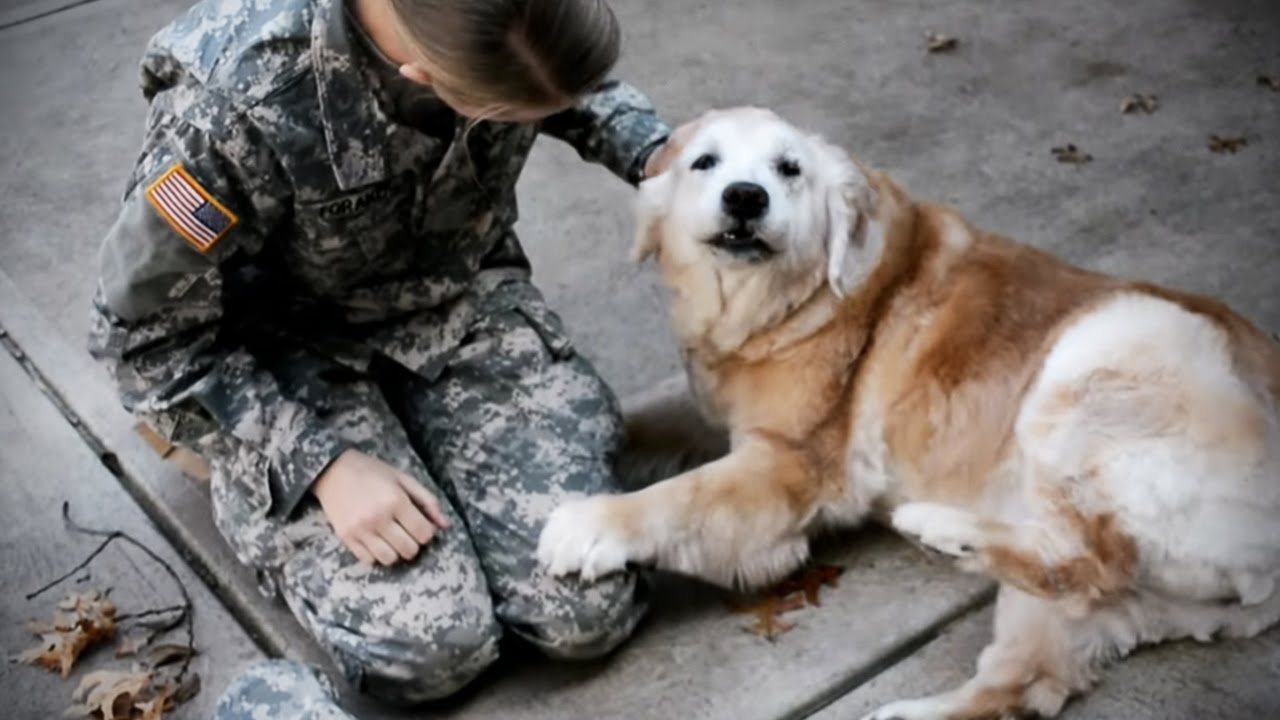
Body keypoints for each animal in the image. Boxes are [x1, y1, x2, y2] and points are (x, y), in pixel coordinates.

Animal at [535, 106, 1274, 717]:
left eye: (788, 168)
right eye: (705, 163)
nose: (746, 197)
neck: (777, 303)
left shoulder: (790, 465)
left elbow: (680, 496)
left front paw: (588, 523)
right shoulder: (719, 409)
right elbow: (647, 415)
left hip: (1102, 349)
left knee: (1093, 558)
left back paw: (939, 527)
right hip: (1100, 598)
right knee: (1030, 676)